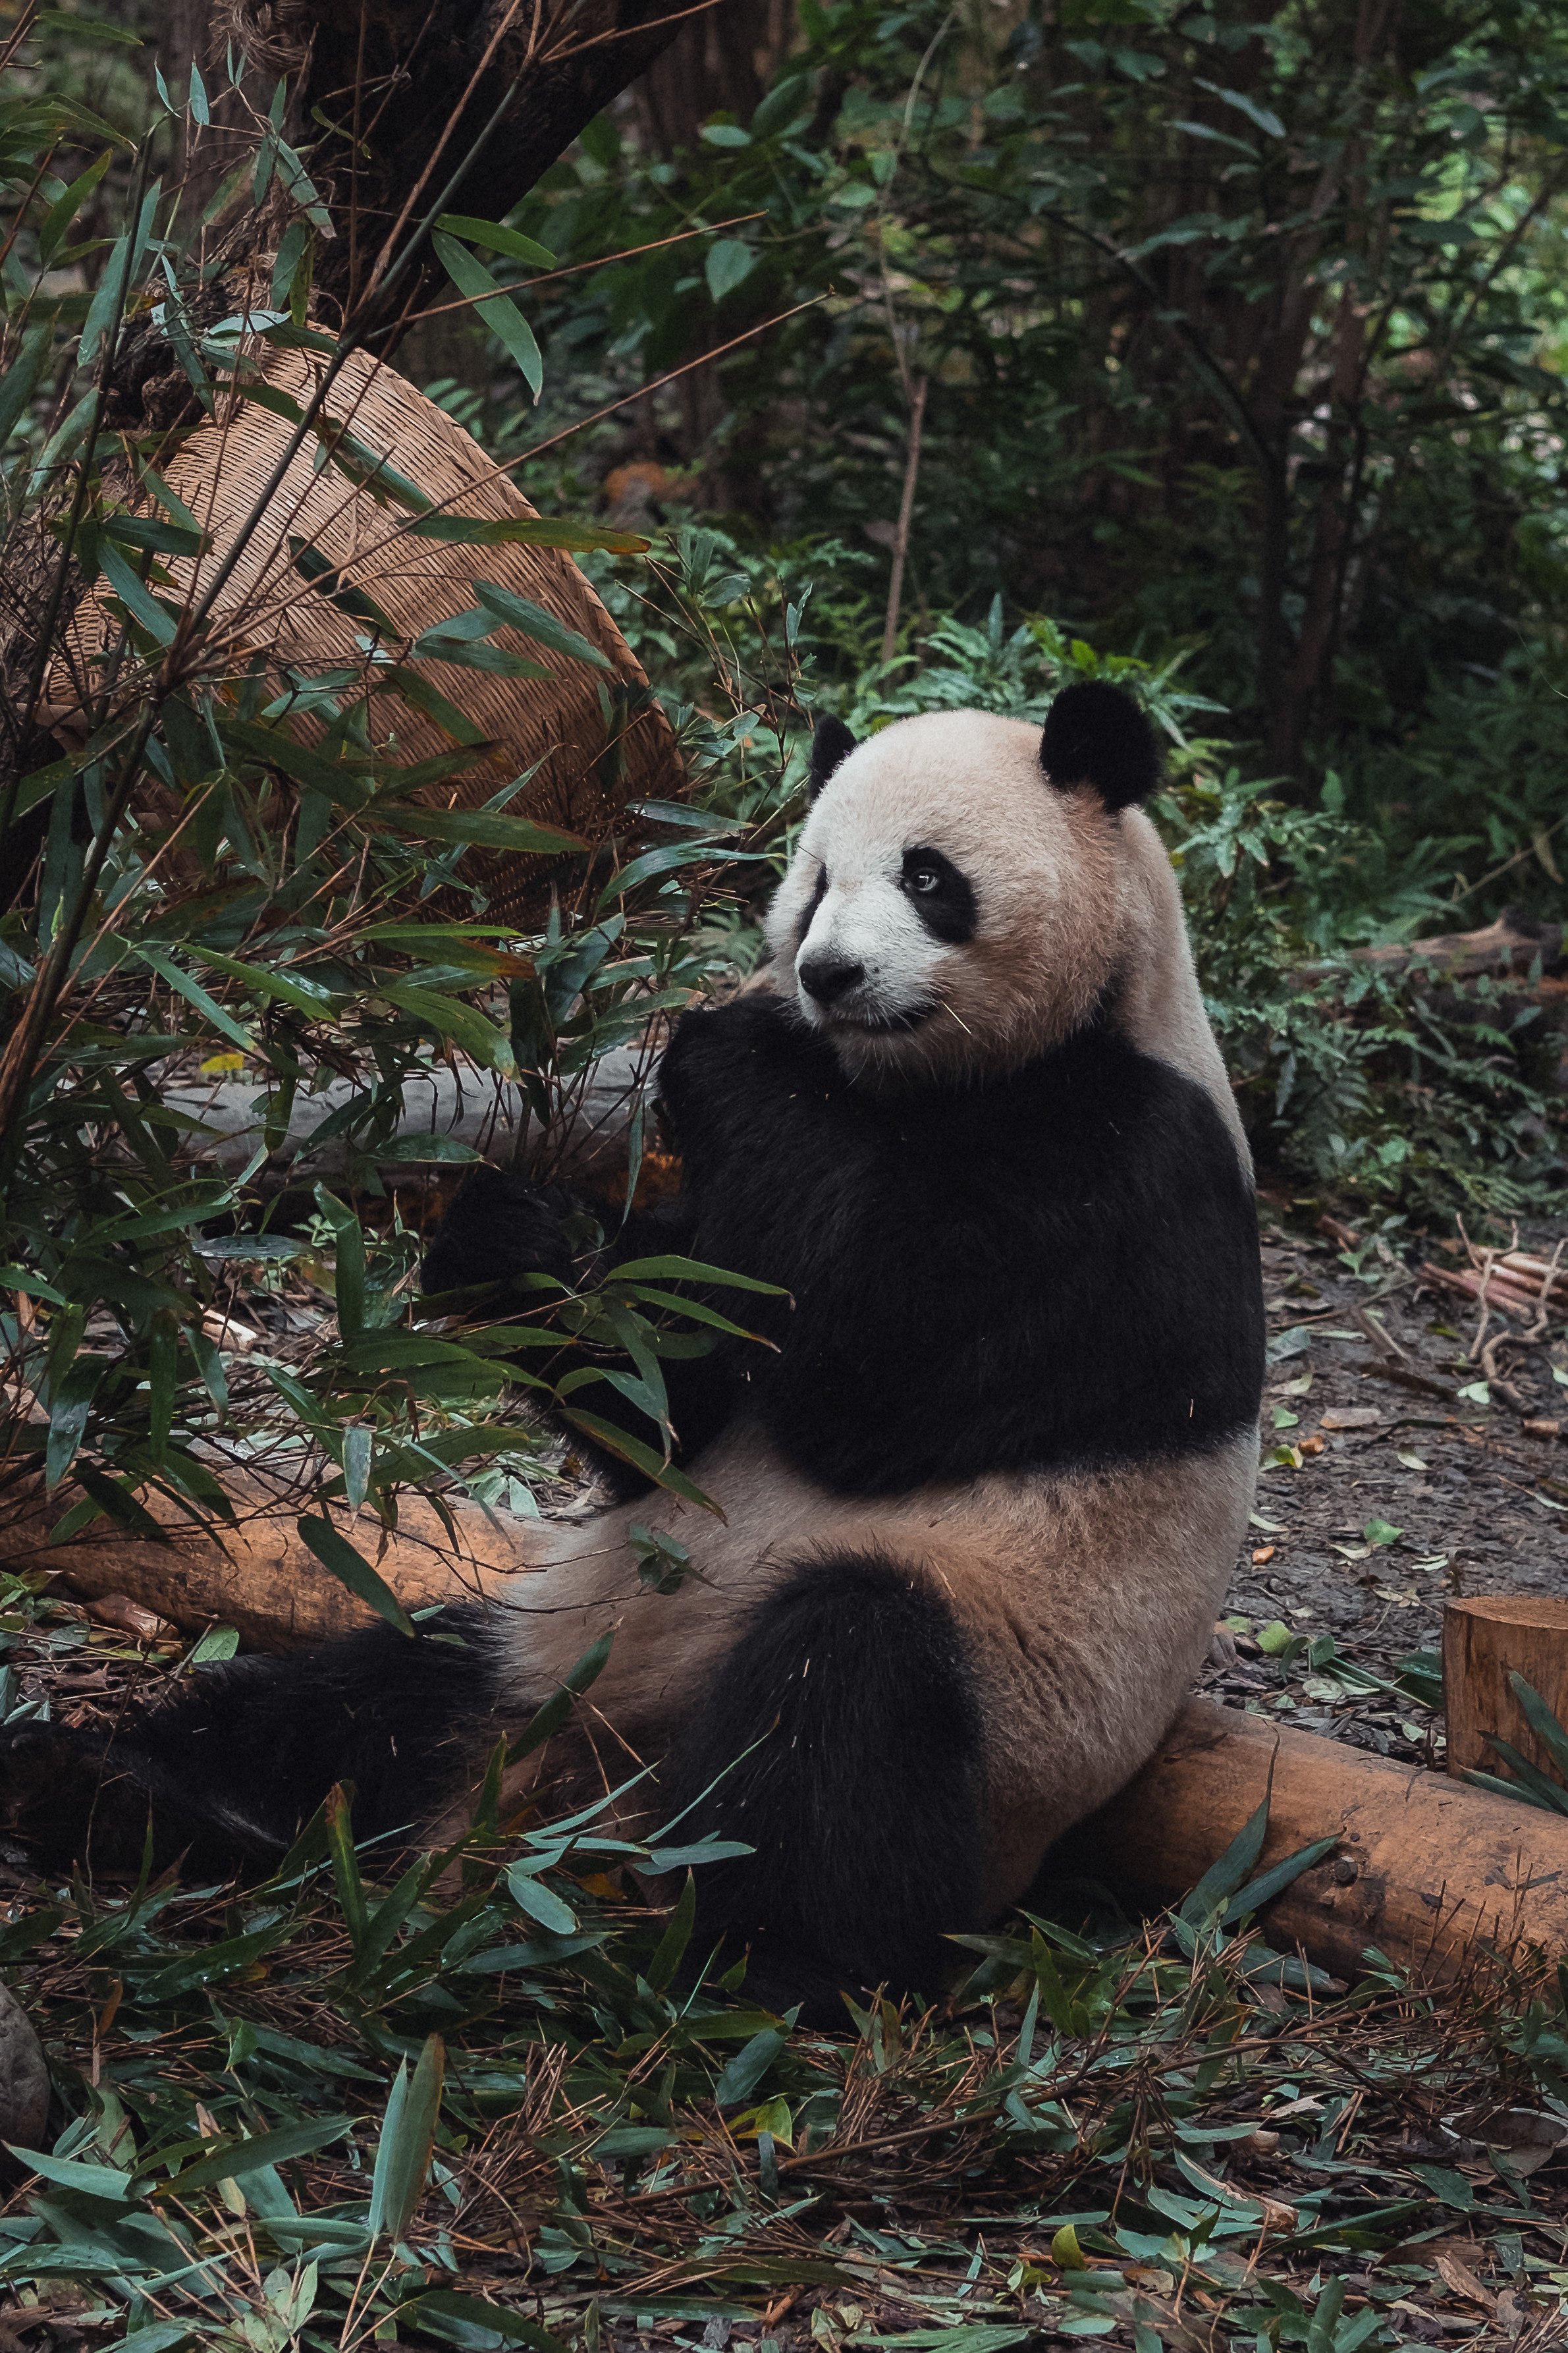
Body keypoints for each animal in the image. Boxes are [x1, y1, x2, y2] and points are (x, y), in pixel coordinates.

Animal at [0, 683, 1265, 2025]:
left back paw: (763, 1965)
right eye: (817, 880)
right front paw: (511, 1242)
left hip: (1003, 1707)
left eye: (929, 878)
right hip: (549, 1646)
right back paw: (112, 1791)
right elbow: (673, 1401)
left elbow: (878, 1378)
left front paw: (727, 1044)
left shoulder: (1119, 1170)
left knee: (846, 1696)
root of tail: (573, 1791)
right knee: (361, 1697)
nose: (826, 974)